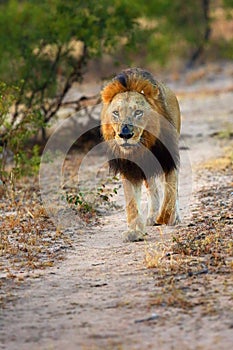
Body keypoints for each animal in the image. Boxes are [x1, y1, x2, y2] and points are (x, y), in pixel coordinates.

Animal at [100, 68, 180, 243]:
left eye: (138, 112)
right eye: (116, 113)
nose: (125, 134)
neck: (142, 148)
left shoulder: (168, 159)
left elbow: (170, 191)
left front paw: (165, 217)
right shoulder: (130, 169)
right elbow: (131, 203)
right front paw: (134, 232)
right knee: (152, 189)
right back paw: (151, 217)